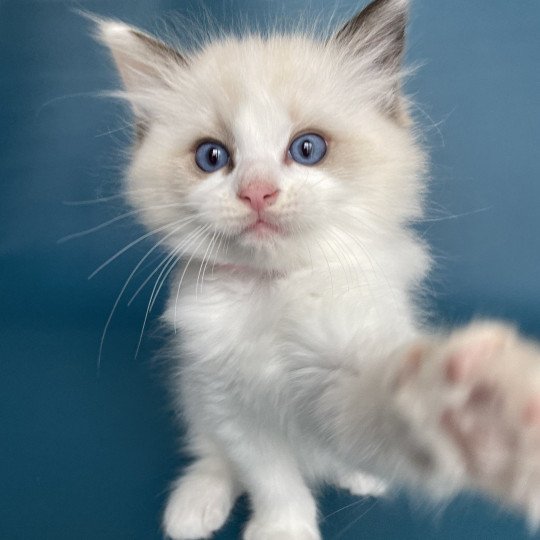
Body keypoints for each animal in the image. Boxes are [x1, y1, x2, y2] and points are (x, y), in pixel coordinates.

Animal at [97, 1, 540, 540]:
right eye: (212, 156)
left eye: (307, 149)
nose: (257, 192)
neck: (271, 291)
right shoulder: (229, 405)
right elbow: (271, 479)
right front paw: (283, 529)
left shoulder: (339, 377)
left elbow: (388, 408)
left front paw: (479, 409)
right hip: (193, 394)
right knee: (212, 455)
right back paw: (195, 505)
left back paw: (362, 476)